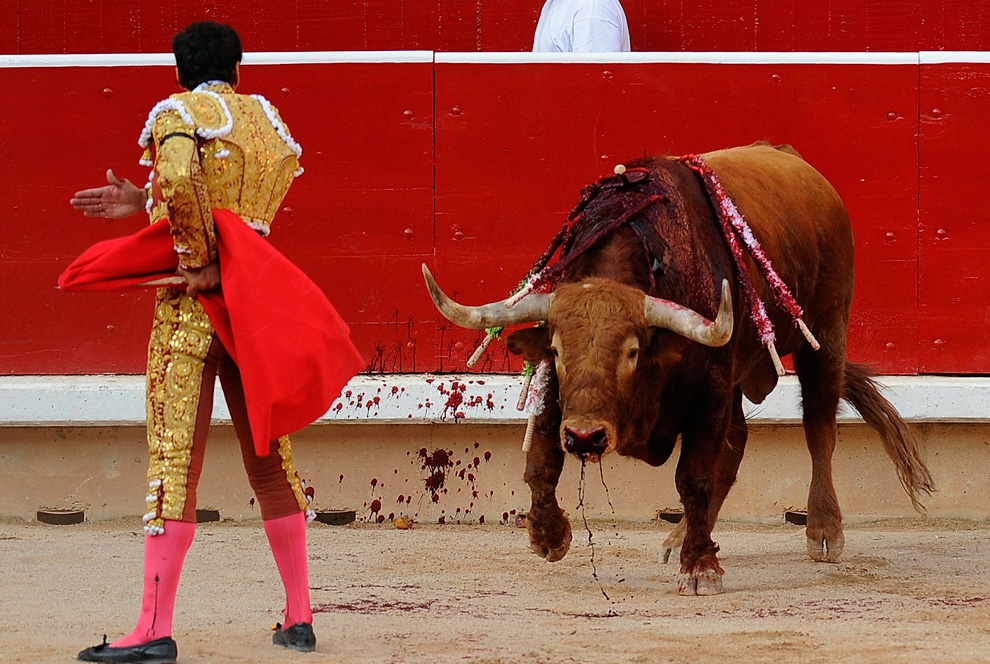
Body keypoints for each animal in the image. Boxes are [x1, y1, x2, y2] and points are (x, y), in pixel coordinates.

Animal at [422, 143, 932, 592]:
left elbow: (694, 477)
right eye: (559, 350)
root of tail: (796, 161)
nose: (586, 438)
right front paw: (549, 536)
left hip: (826, 327)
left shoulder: (709, 387)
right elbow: (542, 460)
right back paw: (680, 533)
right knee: (737, 442)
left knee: (819, 425)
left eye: (632, 352)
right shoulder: (559, 392)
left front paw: (701, 567)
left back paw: (823, 530)